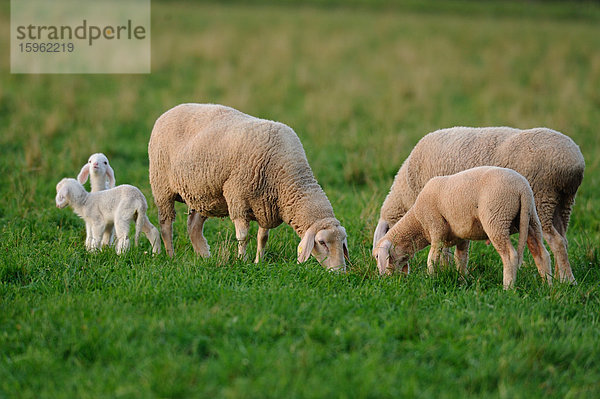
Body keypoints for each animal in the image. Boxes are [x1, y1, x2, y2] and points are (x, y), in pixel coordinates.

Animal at [147, 103, 350, 272]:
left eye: (342, 242)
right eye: (322, 242)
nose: (339, 273)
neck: (288, 176)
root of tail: (169, 111)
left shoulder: (266, 205)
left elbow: (263, 237)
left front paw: (258, 261)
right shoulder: (238, 198)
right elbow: (243, 236)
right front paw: (242, 260)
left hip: (203, 193)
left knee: (193, 226)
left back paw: (205, 257)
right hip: (162, 185)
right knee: (165, 224)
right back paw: (171, 255)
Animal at [372, 166, 552, 290]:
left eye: (377, 257)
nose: (386, 279)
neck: (417, 222)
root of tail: (522, 188)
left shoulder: (436, 228)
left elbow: (432, 258)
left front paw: (431, 279)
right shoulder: (461, 237)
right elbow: (461, 260)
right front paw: (462, 281)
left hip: (497, 218)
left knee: (510, 255)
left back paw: (507, 287)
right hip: (530, 219)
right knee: (542, 253)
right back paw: (548, 287)